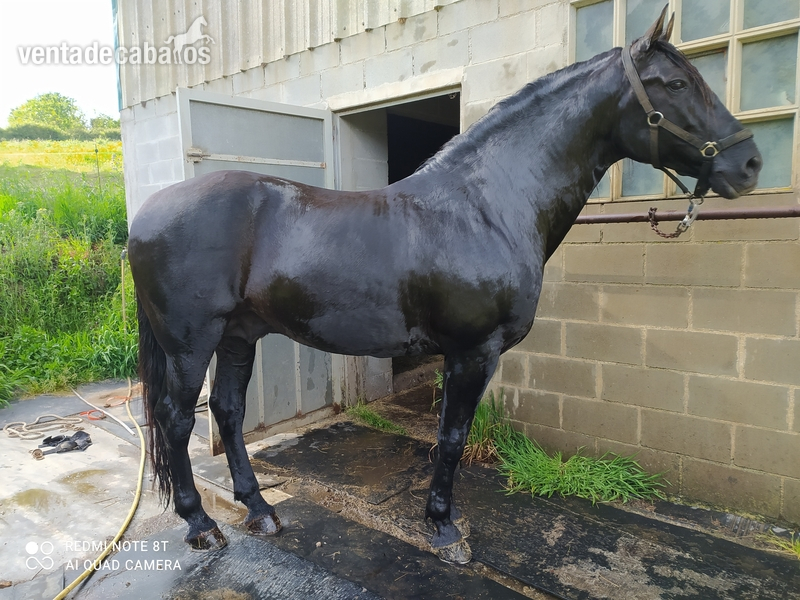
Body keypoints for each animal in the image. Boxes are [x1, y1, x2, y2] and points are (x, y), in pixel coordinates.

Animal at [129, 9, 761, 565]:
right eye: (675, 84)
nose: (751, 163)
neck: (486, 207)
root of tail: (146, 213)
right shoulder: (472, 351)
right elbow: (453, 437)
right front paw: (443, 529)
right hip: (190, 342)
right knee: (176, 418)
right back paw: (201, 524)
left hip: (240, 333)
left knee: (229, 411)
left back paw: (259, 509)